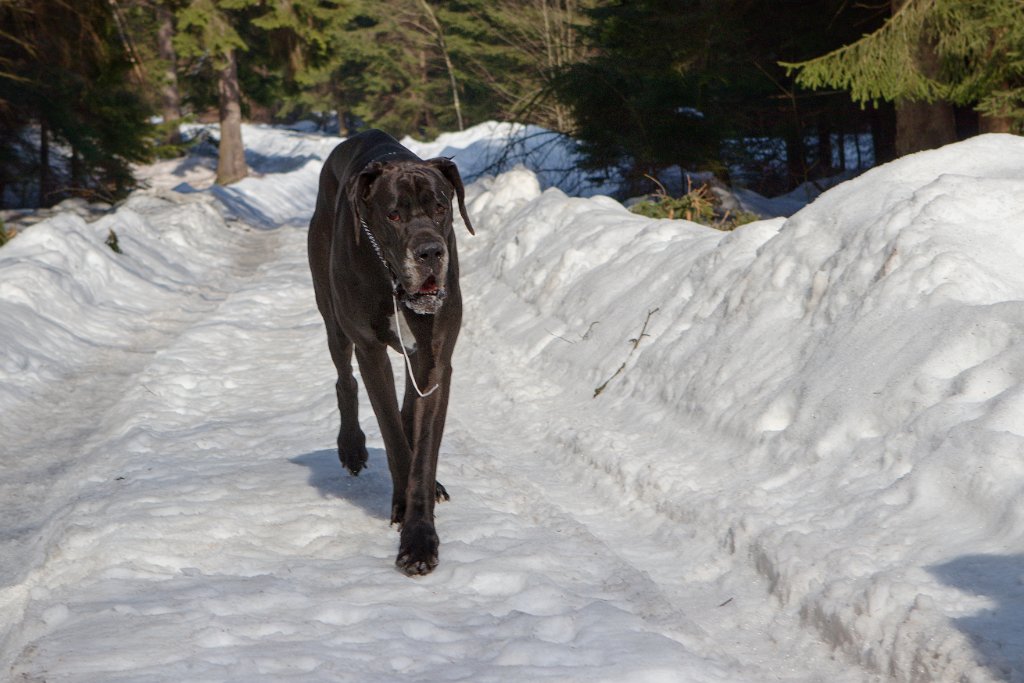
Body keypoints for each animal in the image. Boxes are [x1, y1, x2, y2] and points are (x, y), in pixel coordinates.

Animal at [307, 129, 475, 577]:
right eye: (393, 216)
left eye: (441, 208)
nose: (430, 252)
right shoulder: (370, 350)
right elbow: (395, 441)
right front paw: (404, 511)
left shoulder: (435, 359)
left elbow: (423, 446)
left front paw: (420, 537)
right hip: (333, 316)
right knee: (344, 378)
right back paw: (351, 447)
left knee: (407, 409)